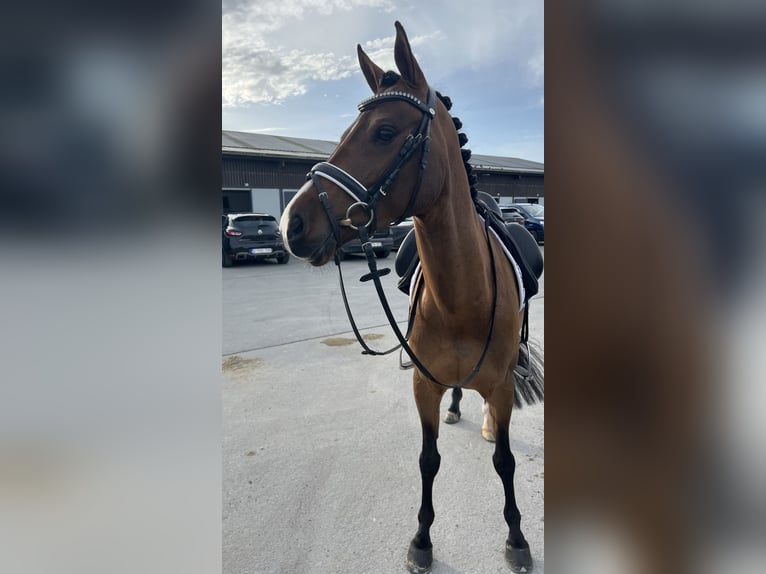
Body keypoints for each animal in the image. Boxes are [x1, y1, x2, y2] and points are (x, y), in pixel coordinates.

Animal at [280, 22, 541, 573]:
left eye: (383, 132)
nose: (292, 224)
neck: (462, 299)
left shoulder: (501, 387)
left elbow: (505, 461)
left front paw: (516, 537)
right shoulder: (423, 385)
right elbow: (428, 460)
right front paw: (422, 539)